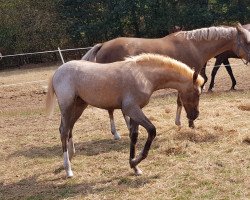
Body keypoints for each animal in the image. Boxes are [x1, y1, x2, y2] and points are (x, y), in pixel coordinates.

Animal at [46, 53, 204, 177]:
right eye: (197, 93)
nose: (195, 115)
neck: (144, 76)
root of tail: (57, 71)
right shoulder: (131, 109)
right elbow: (152, 130)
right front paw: (136, 161)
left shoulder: (135, 111)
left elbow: (134, 136)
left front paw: (134, 166)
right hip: (67, 106)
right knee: (64, 131)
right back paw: (68, 169)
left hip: (79, 106)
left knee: (69, 128)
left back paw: (71, 156)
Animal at [82, 23, 250, 139]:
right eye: (247, 42)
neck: (194, 46)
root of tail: (103, 45)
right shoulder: (187, 81)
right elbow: (183, 101)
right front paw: (188, 123)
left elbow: (179, 101)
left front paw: (181, 122)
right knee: (111, 109)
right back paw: (119, 132)